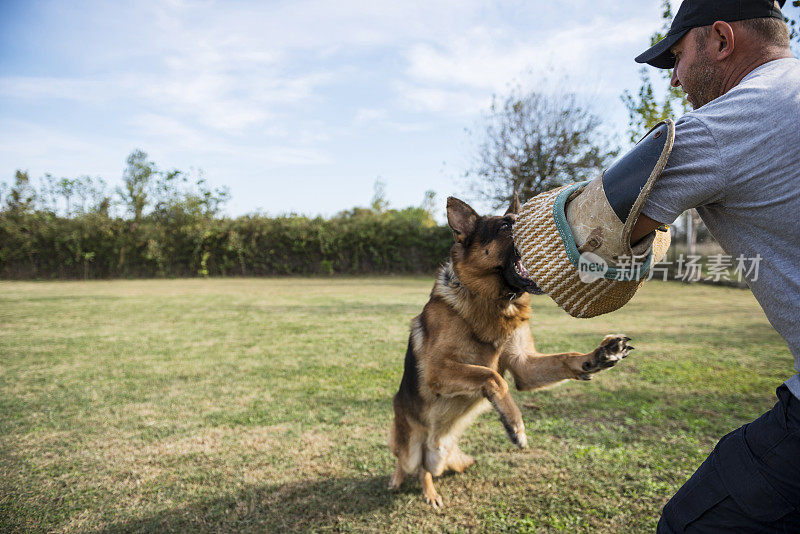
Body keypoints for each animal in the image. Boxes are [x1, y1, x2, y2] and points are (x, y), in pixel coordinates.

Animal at [388, 197, 632, 510]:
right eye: (505, 226)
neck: (494, 302)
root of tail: (437, 446)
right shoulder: (437, 371)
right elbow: (493, 376)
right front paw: (514, 424)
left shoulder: (523, 366)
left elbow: (564, 358)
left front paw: (599, 355)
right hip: (408, 446)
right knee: (408, 464)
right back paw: (405, 483)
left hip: (439, 457)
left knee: (425, 470)